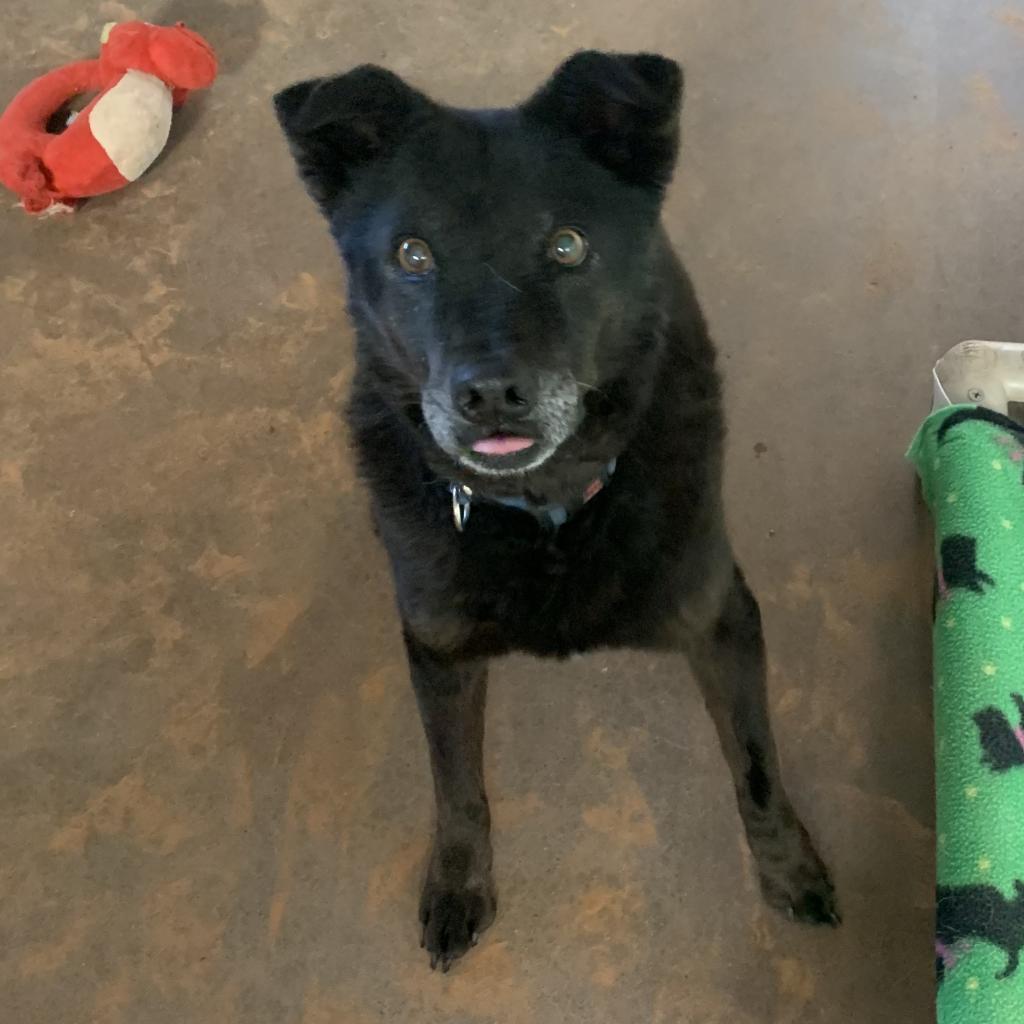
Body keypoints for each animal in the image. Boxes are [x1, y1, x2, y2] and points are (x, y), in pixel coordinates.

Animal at [274, 54, 839, 966]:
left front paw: (788, 868)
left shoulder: (722, 618)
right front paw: (459, 883)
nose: (490, 394)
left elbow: (755, 765)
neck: (547, 519)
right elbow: (455, 785)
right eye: (412, 254)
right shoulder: (437, 648)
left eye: (567, 246)